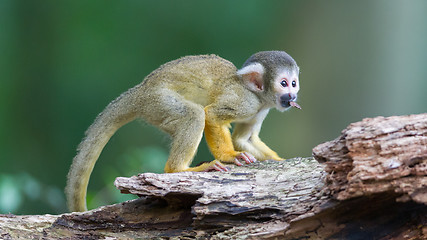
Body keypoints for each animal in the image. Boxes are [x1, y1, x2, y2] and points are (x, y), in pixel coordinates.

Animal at [66, 51, 300, 212]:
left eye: (294, 83)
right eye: (283, 83)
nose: (293, 96)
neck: (259, 97)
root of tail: (140, 93)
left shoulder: (260, 110)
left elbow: (244, 139)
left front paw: (278, 160)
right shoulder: (245, 101)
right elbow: (211, 115)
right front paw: (229, 156)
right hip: (160, 102)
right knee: (194, 115)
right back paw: (179, 168)